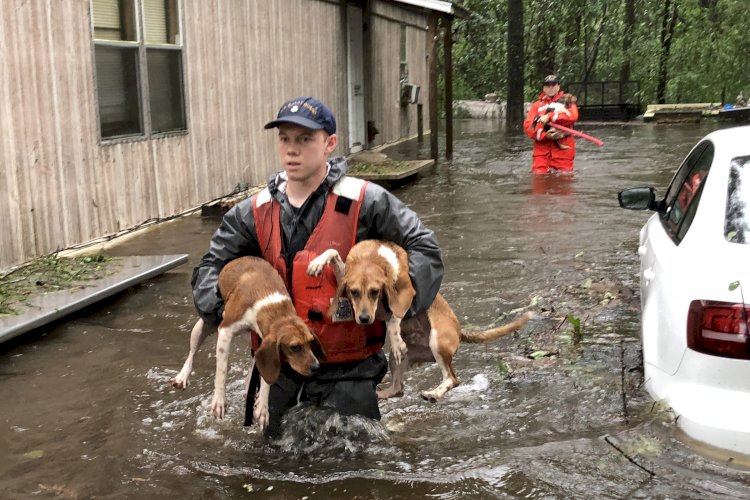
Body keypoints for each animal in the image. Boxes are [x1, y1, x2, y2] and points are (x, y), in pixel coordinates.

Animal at [170, 258, 324, 430]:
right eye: (295, 347)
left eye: (311, 343)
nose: (316, 367)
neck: (272, 306)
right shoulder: (225, 331)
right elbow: (222, 371)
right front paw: (219, 401)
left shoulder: (264, 343)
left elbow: (266, 377)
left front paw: (263, 406)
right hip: (202, 327)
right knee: (192, 353)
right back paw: (182, 376)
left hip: (250, 339)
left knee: (253, 361)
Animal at [306, 240, 536, 400]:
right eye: (353, 293)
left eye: (375, 292)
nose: (363, 319)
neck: (372, 259)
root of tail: (459, 329)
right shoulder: (345, 276)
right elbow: (333, 252)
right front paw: (317, 263)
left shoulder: (408, 296)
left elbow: (394, 318)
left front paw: (396, 338)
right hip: (397, 360)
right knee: (398, 389)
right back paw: (382, 393)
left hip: (438, 343)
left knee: (452, 379)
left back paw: (433, 393)